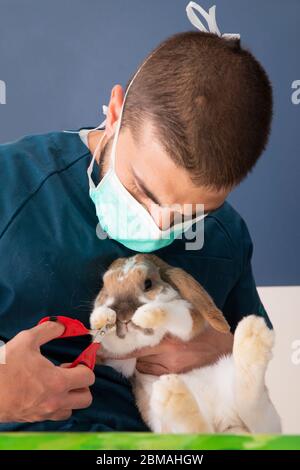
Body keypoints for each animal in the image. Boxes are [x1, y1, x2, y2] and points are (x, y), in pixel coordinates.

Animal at [89, 253, 282, 434]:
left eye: (148, 284)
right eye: (105, 288)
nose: (123, 315)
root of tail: (225, 423)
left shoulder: (189, 320)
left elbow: (172, 313)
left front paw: (145, 315)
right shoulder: (122, 358)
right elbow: (112, 343)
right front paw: (101, 317)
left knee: (253, 409)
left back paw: (254, 332)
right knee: (201, 431)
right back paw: (173, 395)